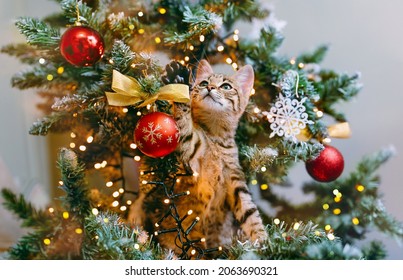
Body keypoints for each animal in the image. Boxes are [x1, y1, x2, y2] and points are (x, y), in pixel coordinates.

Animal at [129, 59, 268, 256]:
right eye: (203, 83)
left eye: (226, 86)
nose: (209, 87)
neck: (214, 137)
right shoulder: (191, 152)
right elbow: (184, 125)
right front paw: (178, 82)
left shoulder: (235, 179)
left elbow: (250, 212)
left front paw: (262, 239)